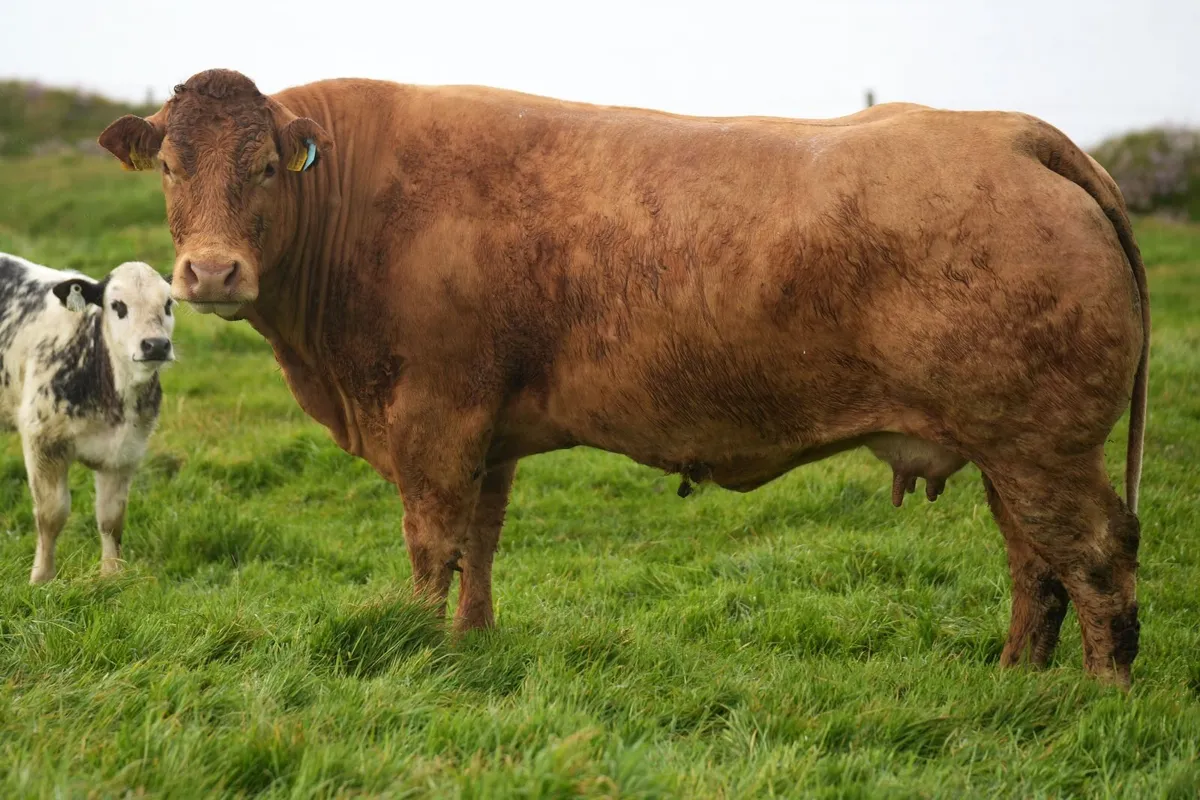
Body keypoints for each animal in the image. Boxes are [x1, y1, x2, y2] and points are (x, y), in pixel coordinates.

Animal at [0, 254, 175, 583]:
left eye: (169, 303)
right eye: (118, 305)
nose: (156, 345)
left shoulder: (125, 453)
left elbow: (111, 518)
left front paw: (112, 576)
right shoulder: (43, 442)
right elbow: (52, 515)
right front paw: (41, 578)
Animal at [98, 70, 1149, 685]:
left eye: (268, 166)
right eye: (172, 166)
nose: (211, 273)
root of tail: (1017, 134)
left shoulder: (434, 416)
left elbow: (431, 545)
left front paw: (420, 648)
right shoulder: (488, 430)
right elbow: (480, 544)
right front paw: (470, 647)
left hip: (1043, 445)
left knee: (1095, 555)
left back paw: (1098, 700)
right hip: (1009, 449)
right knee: (1035, 564)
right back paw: (1015, 682)